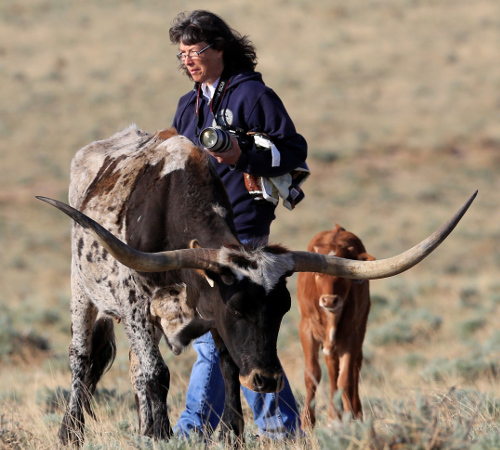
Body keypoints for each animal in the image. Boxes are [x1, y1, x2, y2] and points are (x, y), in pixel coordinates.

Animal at [298, 225, 374, 428]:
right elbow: (312, 373)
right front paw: (307, 422)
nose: (329, 300)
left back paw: (351, 412)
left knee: (355, 365)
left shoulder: (351, 334)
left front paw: (348, 416)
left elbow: (345, 377)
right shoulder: (306, 329)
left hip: (361, 326)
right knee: (331, 366)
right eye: (318, 273)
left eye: (344, 275)